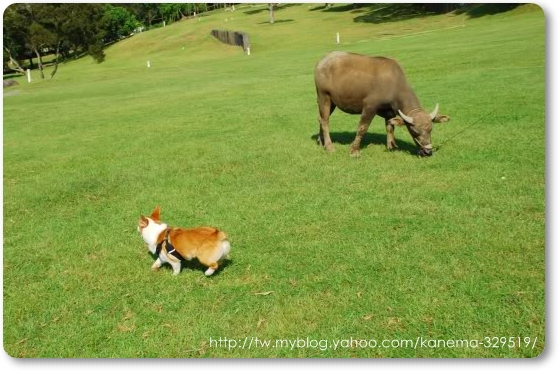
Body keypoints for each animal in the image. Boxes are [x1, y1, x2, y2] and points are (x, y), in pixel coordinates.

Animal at [316, 50, 446, 155]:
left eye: (431, 129)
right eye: (414, 131)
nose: (427, 152)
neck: (393, 84)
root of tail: (322, 61)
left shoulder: (389, 112)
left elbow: (390, 127)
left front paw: (391, 146)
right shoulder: (369, 106)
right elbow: (362, 128)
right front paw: (354, 150)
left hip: (331, 102)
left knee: (320, 118)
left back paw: (321, 141)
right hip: (324, 96)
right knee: (325, 121)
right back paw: (329, 147)